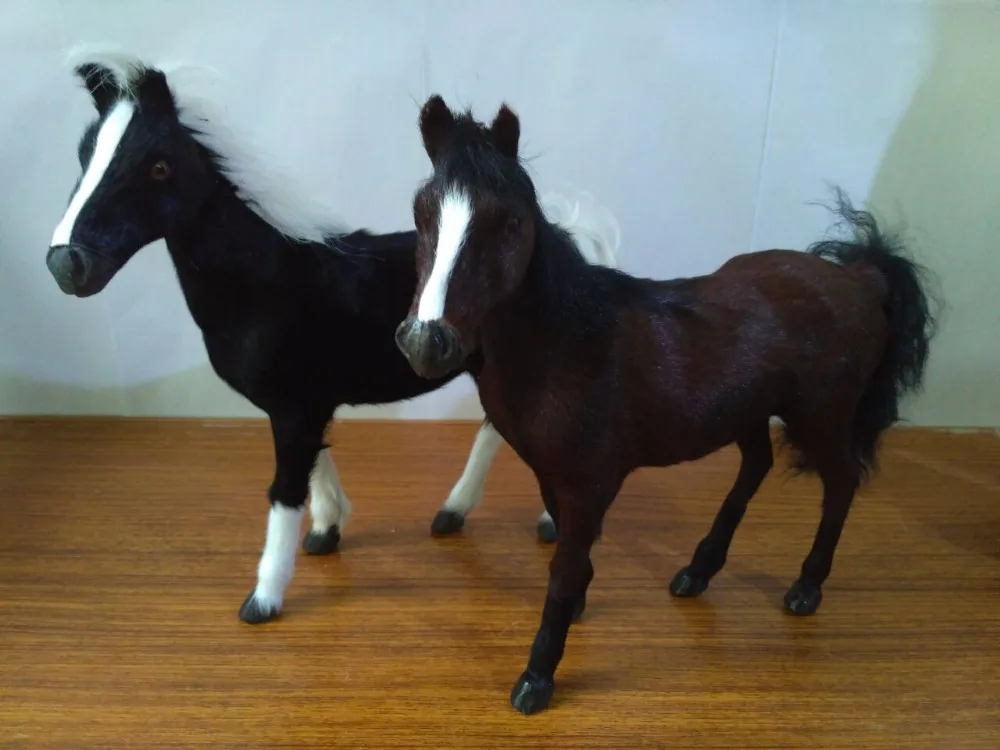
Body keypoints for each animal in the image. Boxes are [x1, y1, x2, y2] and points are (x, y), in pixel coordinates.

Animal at [43, 47, 581, 626]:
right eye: (83, 154)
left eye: (159, 166)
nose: (66, 264)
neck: (266, 283)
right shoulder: (301, 404)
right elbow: (314, 465)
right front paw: (327, 528)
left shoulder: (294, 410)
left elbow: (284, 489)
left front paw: (264, 598)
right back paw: (454, 512)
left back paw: (543, 523)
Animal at [394, 95, 939, 714]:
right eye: (421, 214)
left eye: (509, 222)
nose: (426, 342)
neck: (569, 343)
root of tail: (860, 277)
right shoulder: (551, 473)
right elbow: (567, 549)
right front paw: (579, 606)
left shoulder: (590, 481)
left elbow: (561, 569)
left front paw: (537, 679)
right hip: (748, 413)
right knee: (756, 465)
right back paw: (697, 572)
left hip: (821, 418)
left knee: (841, 483)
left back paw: (805, 588)